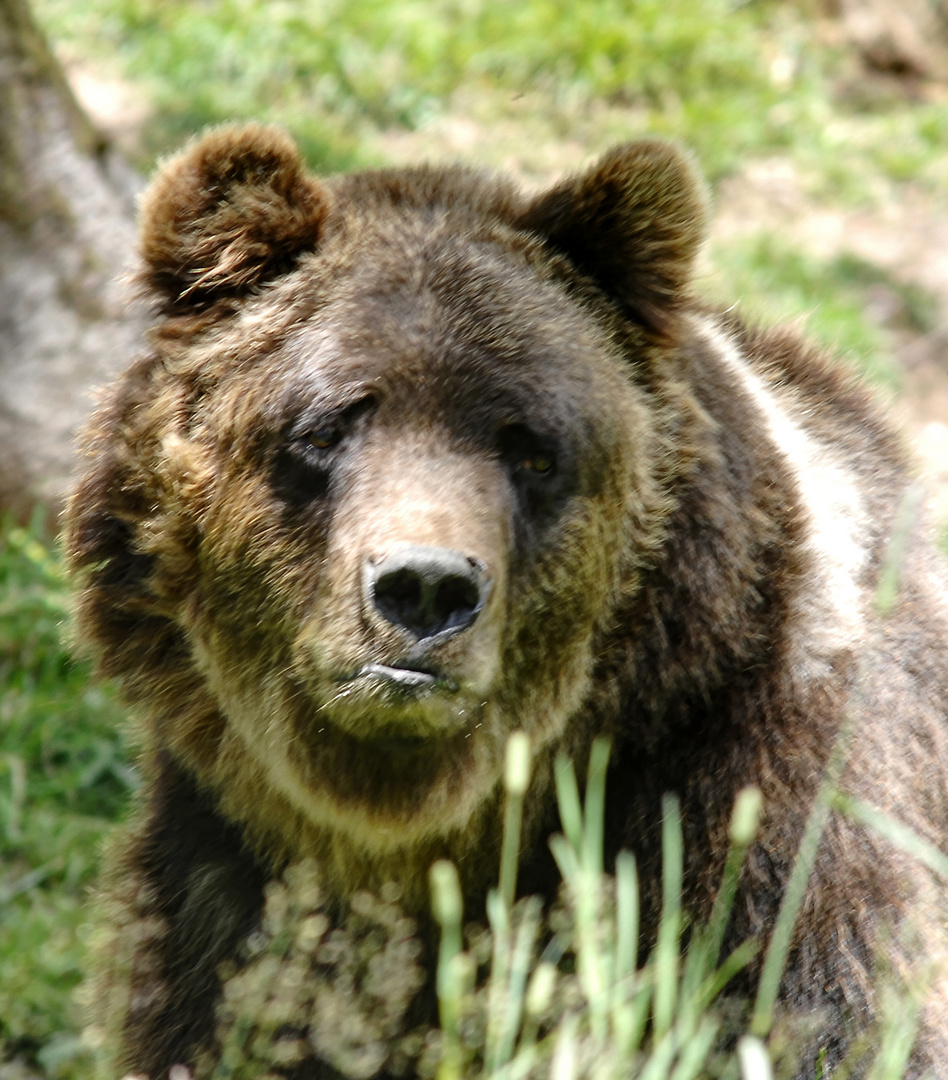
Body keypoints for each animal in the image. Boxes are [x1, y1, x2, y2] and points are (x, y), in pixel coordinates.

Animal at [65, 128, 948, 1080]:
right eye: (327, 426)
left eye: (531, 450)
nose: (425, 588)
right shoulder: (228, 887)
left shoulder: (760, 819)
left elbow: (821, 1008)